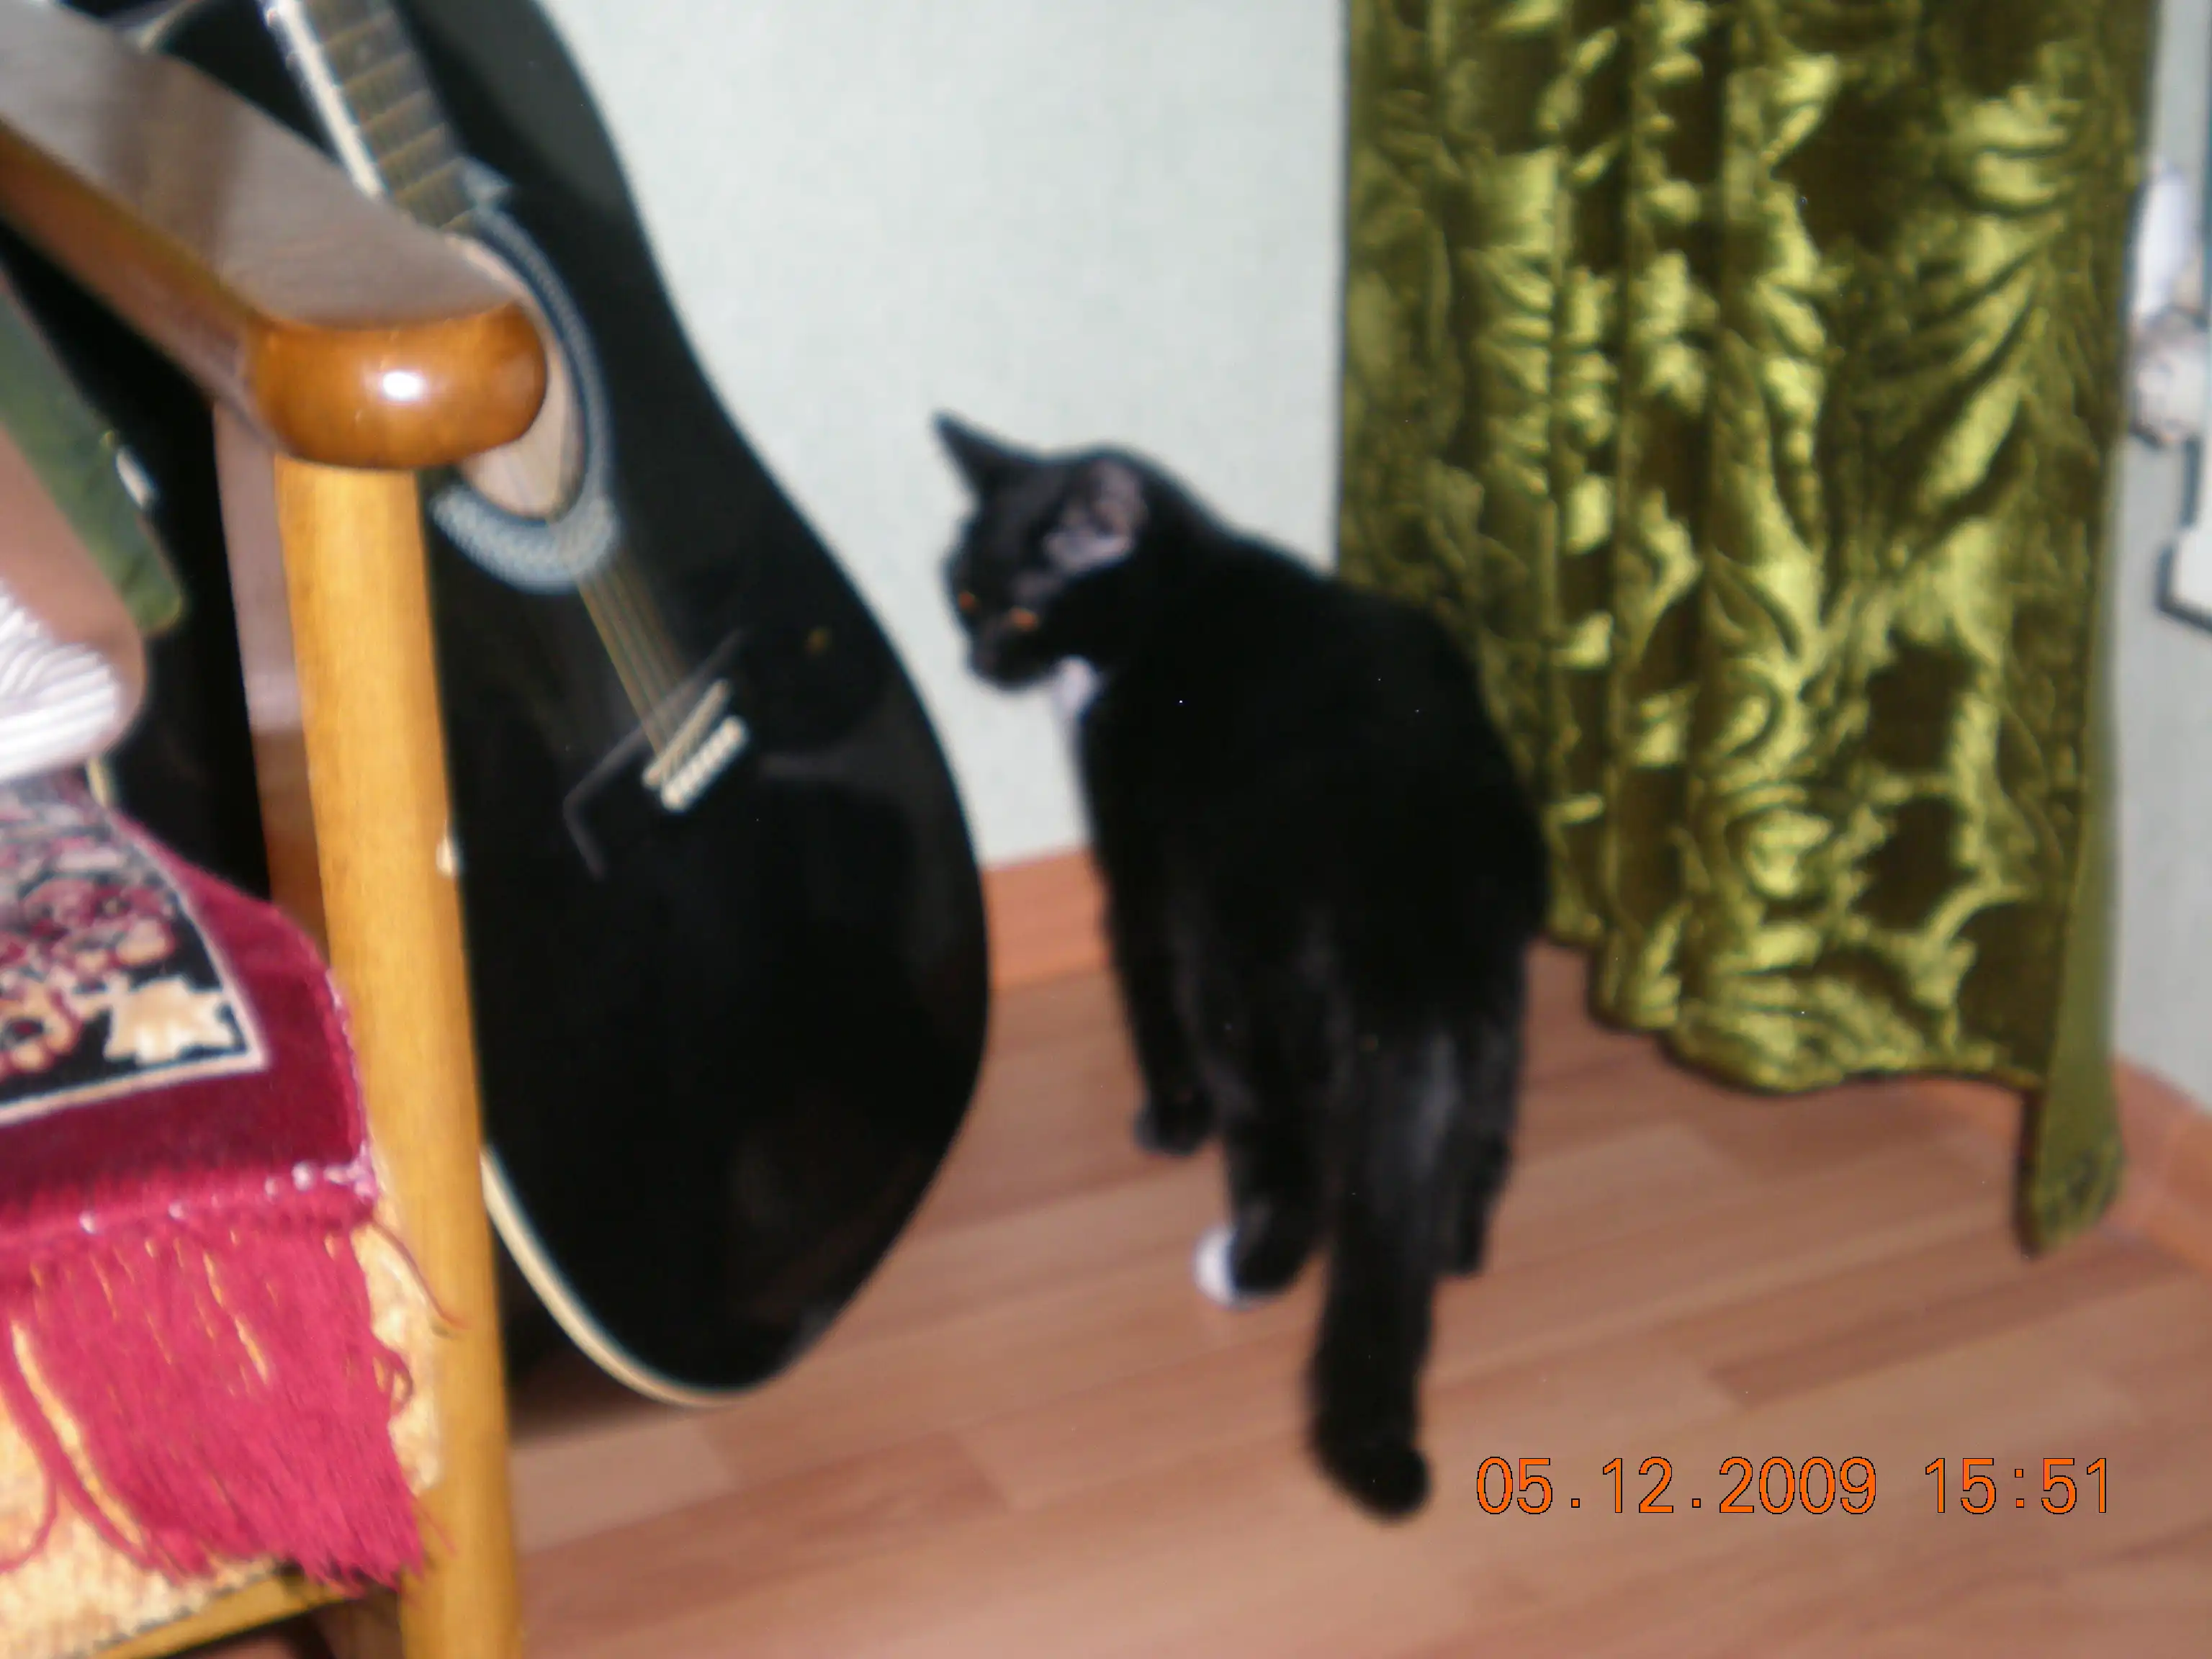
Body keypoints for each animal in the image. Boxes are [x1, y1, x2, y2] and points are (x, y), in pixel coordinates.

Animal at [935, 414, 1549, 1519]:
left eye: (1021, 608)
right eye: (962, 594)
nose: (977, 660)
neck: (1170, 591)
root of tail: (1413, 865)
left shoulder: (1142, 862)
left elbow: (1142, 986)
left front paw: (1170, 1125)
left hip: (1242, 968)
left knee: (1281, 1142)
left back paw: (1247, 1266)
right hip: (1494, 977)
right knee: (1482, 1125)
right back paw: (1451, 1247)